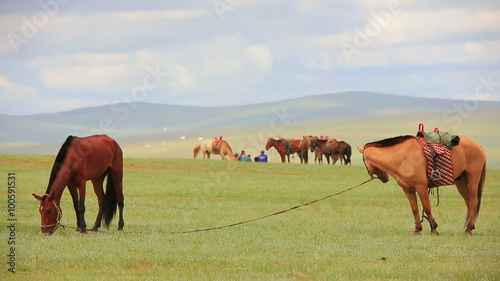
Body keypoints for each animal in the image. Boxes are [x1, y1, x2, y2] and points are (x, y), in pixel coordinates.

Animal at [358, 134, 486, 234]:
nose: (385, 178)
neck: (402, 157)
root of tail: (478, 145)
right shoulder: (408, 190)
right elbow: (414, 208)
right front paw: (417, 229)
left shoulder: (421, 187)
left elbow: (427, 207)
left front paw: (434, 228)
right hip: (461, 180)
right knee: (468, 201)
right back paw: (470, 226)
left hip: (473, 177)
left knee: (474, 201)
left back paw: (468, 229)